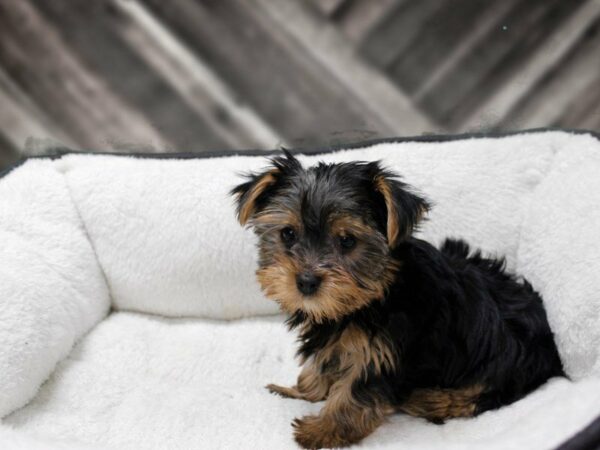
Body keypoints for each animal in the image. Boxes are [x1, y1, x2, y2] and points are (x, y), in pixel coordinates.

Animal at [231, 153, 564, 448]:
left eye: (347, 241)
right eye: (288, 234)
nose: (306, 281)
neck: (375, 295)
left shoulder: (386, 352)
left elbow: (355, 392)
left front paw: (322, 430)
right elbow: (325, 363)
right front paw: (300, 390)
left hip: (510, 355)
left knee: (486, 394)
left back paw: (429, 399)